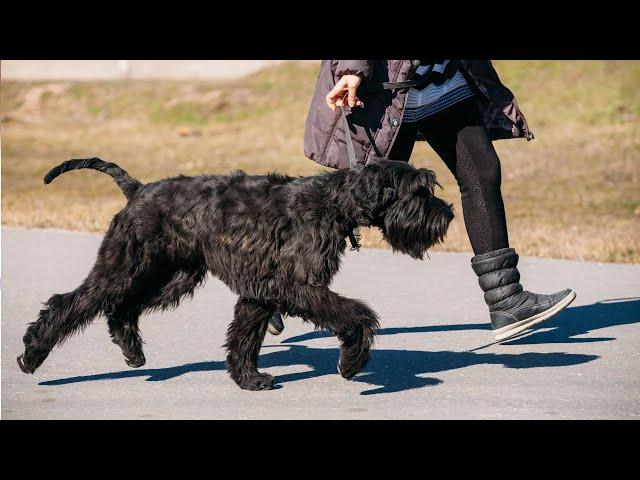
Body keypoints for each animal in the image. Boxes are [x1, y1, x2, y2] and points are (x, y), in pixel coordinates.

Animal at [16, 158, 456, 390]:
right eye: (419, 191)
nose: (449, 214)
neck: (334, 203)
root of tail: (137, 190)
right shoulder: (297, 286)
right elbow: (356, 314)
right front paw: (352, 361)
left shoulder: (262, 290)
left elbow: (244, 335)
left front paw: (248, 378)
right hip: (123, 266)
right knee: (71, 303)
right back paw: (32, 354)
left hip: (173, 275)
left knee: (121, 308)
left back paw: (132, 351)